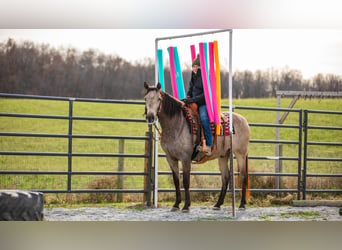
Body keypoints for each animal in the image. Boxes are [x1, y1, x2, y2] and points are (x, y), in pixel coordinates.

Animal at [144, 81, 251, 211]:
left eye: (159, 99)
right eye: (145, 98)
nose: (150, 117)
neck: (177, 125)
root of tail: (244, 121)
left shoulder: (185, 158)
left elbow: (186, 181)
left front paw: (186, 205)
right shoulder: (171, 158)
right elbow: (176, 181)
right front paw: (176, 204)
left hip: (240, 154)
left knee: (243, 176)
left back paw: (241, 204)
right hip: (223, 156)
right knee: (225, 177)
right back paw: (218, 204)